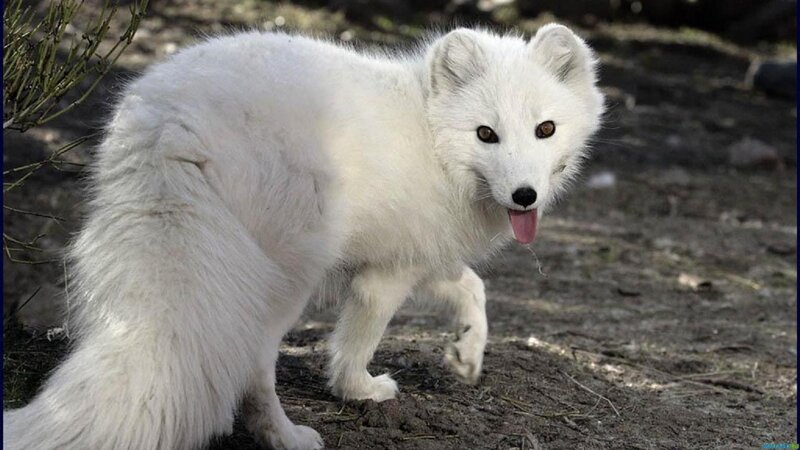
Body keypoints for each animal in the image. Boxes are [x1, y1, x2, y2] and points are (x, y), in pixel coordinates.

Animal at [3, 24, 604, 450]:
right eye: (486, 134)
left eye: (545, 129)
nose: (525, 196)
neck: (430, 136)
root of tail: (173, 124)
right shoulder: (385, 276)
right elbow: (359, 339)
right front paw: (358, 390)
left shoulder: (413, 252)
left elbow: (472, 288)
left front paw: (466, 355)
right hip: (286, 276)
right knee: (253, 366)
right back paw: (284, 436)